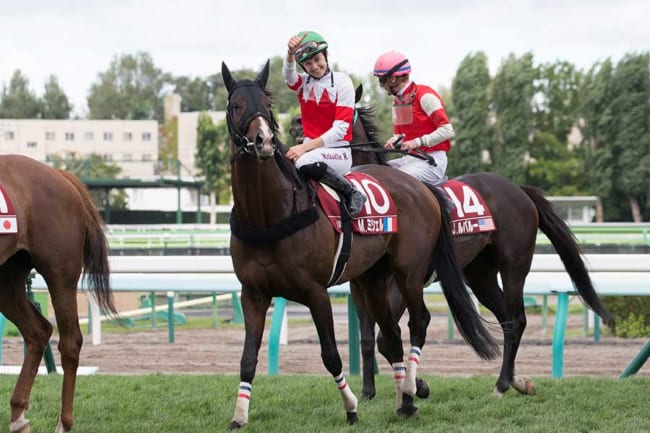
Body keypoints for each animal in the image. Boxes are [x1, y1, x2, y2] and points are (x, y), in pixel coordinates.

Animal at [0, 155, 115, 432]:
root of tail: (61, 176)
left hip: (61, 273)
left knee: (70, 341)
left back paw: (63, 422)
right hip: (6, 277)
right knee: (37, 331)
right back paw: (18, 417)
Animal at [342, 101, 612, 398]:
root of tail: (519, 190)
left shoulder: (402, 282)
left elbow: (387, 336)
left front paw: (418, 385)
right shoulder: (360, 284)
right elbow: (368, 338)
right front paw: (368, 391)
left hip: (514, 266)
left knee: (516, 319)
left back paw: (502, 384)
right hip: (480, 275)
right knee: (506, 319)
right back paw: (517, 380)